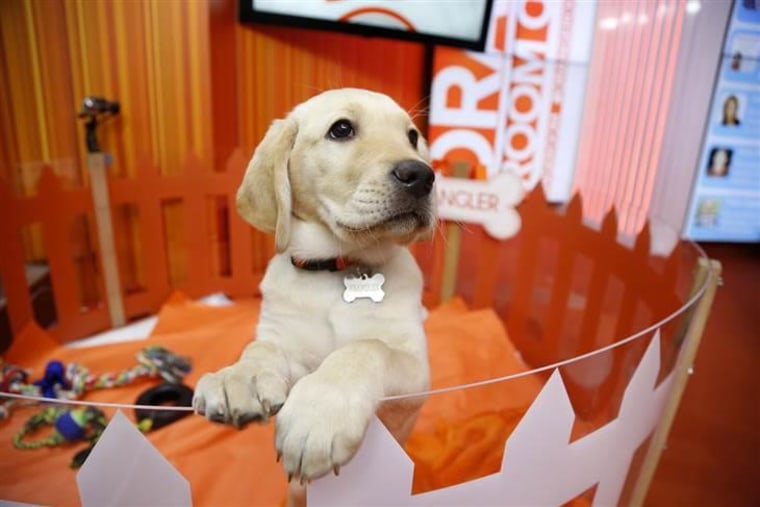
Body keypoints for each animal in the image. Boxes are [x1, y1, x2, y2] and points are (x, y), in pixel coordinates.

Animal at [193, 88, 434, 488]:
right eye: (342, 129)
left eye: (412, 137)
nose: (422, 175)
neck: (341, 267)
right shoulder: (286, 342)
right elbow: (260, 346)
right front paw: (240, 376)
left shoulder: (416, 371)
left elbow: (367, 348)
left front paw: (319, 412)